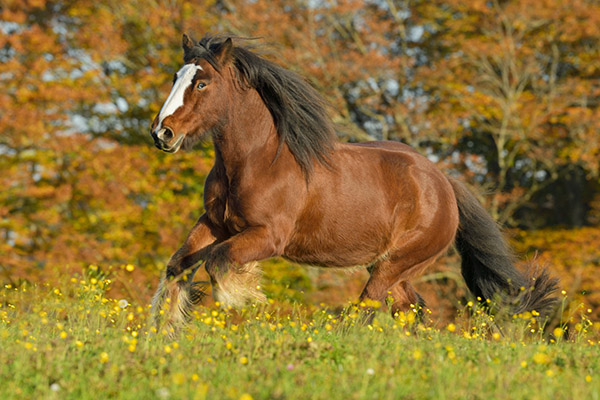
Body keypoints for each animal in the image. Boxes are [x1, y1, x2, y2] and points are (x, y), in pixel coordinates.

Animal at [149, 32, 556, 332]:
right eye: (175, 78)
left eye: (202, 83)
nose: (161, 133)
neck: (257, 161)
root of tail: (444, 183)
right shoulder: (214, 225)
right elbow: (176, 267)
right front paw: (165, 332)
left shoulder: (267, 236)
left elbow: (218, 264)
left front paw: (246, 300)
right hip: (393, 269)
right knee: (410, 308)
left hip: (395, 264)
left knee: (368, 307)